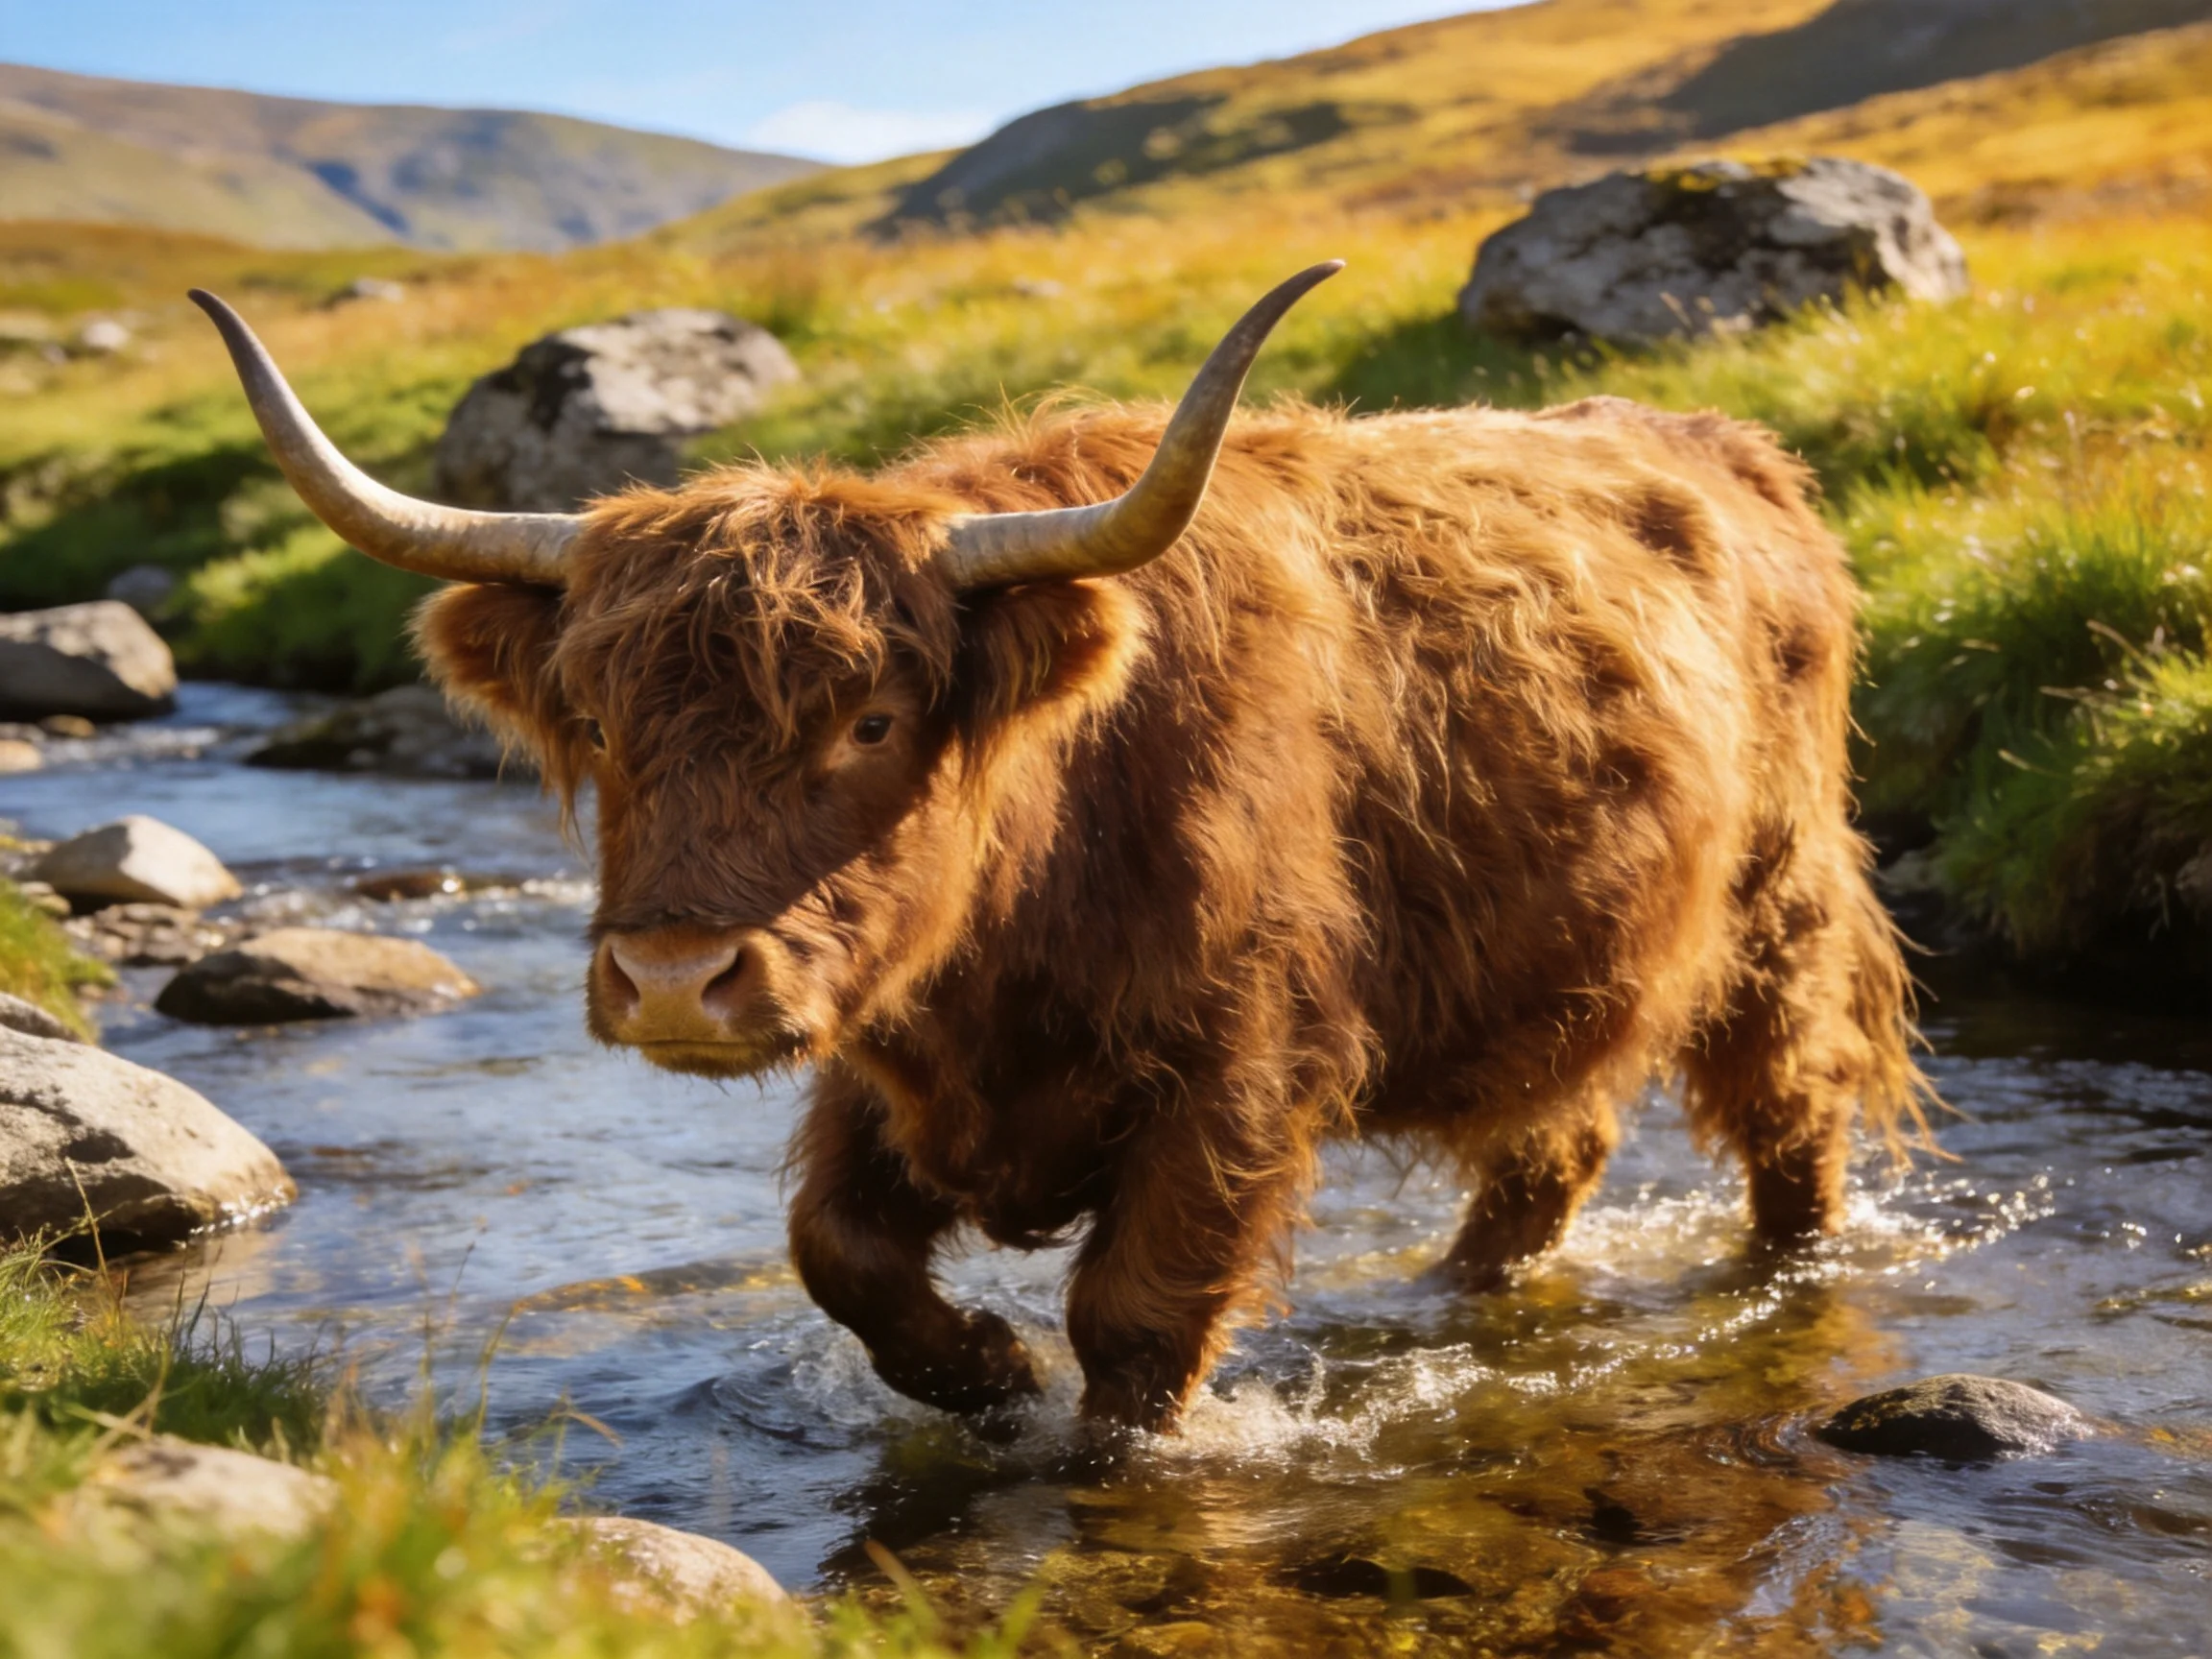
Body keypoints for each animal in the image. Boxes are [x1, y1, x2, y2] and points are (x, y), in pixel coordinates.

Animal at [192, 264, 1928, 1433]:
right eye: (603, 727)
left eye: (873, 721)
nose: (677, 978)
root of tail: (1723, 446)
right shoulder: (880, 1047)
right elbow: (835, 1252)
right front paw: (979, 1370)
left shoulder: (1241, 1062)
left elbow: (1137, 1322)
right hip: (1564, 966)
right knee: (1547, 1149)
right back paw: (1446, 1297)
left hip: (1777, 913)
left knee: (1793, 1116)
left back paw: (1782, 1278)